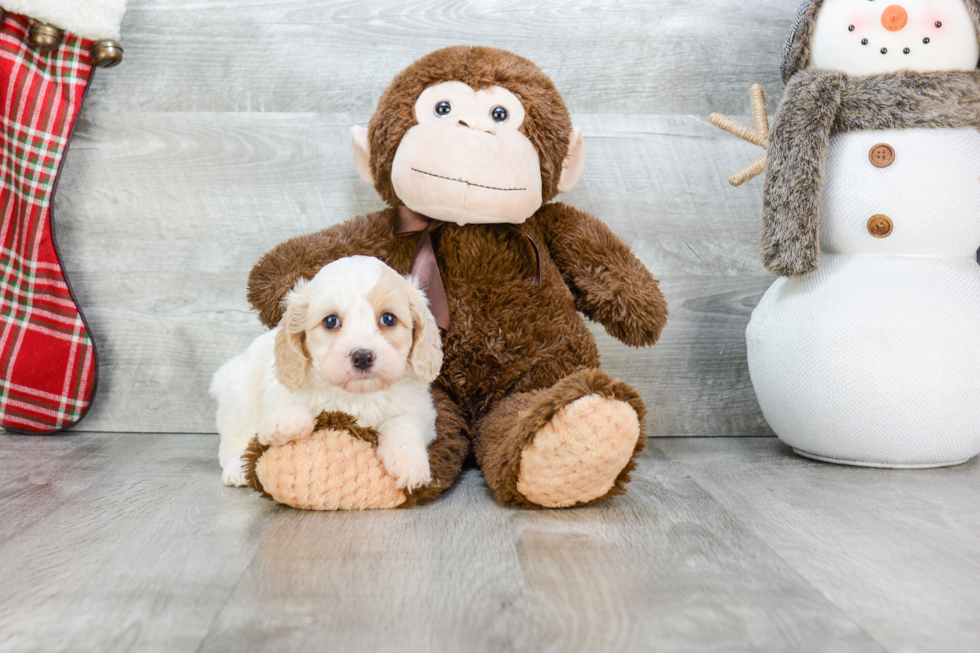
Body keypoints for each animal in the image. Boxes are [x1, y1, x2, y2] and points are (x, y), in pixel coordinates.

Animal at [215, 255, 448, 488]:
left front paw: (409, 462)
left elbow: (403, 423)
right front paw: (284, 423)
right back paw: (237, 467)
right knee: (232, 442)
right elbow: (294, 405)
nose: (362, 357)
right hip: (234, 394)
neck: (358, 395)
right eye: (330, 321)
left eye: (388, 319)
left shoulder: (422, 412)